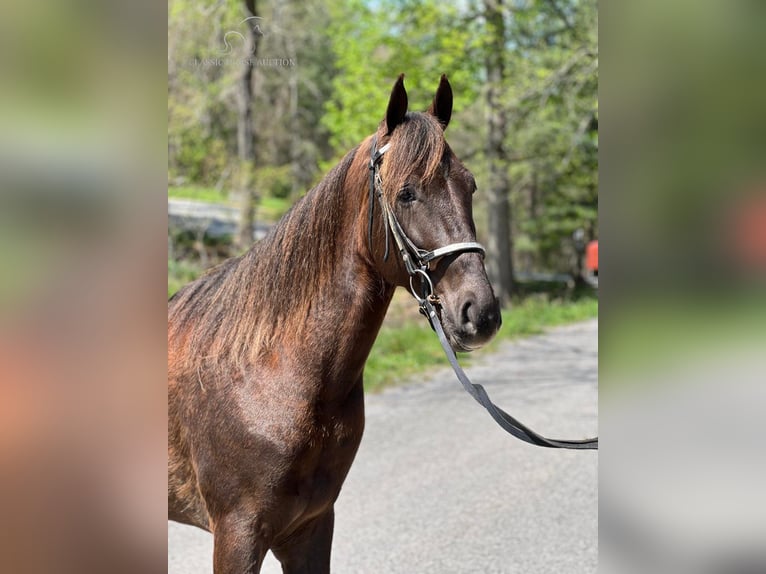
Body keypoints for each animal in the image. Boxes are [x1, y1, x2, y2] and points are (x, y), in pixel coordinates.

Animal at [169, 74, 504, 572]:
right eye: (406, 192)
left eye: (470, 186)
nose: (479, 313)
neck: (270, 372)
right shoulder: (236, 535)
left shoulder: (311, 527)